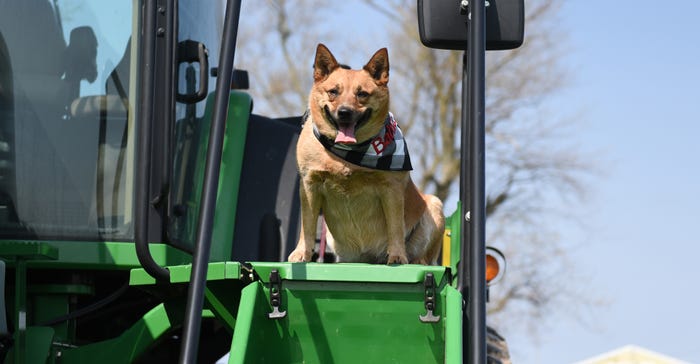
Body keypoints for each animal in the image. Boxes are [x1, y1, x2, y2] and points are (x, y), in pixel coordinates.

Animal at [288, 44, 442, 264]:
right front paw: (302, 252)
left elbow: (395, 227)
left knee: (425, 255)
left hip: (435, 205)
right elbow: (307, 225)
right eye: (333, 92)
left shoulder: (392, 188)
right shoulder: (309, 185)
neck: (347, 155)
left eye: (362, 94)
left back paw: (415, 260)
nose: (344, 112)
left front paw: (397, 256)